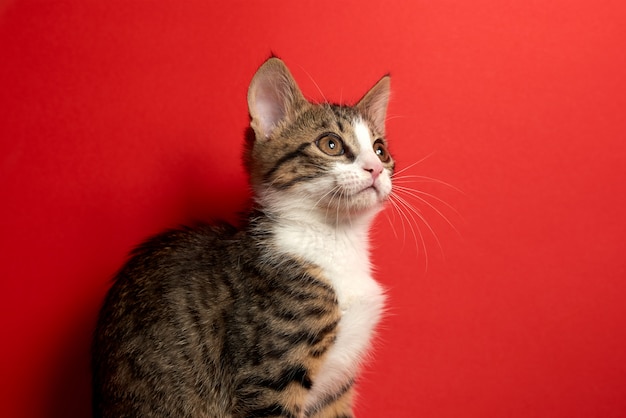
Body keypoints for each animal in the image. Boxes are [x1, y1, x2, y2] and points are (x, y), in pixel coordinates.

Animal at [91, 56, 394, 418]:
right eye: (330, 144)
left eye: (380, 150)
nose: (376, 169)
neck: (335, 240)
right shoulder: (269, 379)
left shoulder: (335, 392)